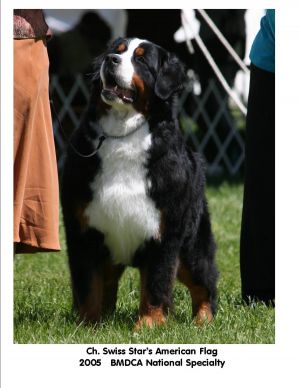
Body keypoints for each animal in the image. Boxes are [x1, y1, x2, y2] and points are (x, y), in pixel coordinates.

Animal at [61, 36, 219, 328]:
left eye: (141, 60)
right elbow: (88, 284)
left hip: (191, 247)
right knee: (107, 284)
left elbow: (156, 282)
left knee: (204, 282)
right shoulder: (83, 229)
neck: (122, 135)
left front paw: (149, 324)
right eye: (117, 51)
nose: (111, 60)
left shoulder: (164, 231)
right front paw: (87, 325)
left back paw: (203, 321)